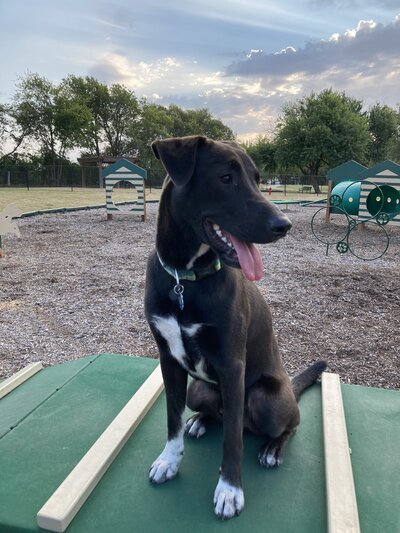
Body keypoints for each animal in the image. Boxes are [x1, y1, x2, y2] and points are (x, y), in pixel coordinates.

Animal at [145, 135, 326, 516]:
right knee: (217, 413)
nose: (284, 225)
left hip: (266, 399)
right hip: (199, 390)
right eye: (225, 178)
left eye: (258, 179)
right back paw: (200, 421)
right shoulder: (168, 360)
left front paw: (229, 489)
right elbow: (171, 420)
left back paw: (272, 448)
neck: (185, 280)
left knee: (289, 422)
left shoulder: (232, 365)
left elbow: (232, 441)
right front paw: (170, 460)